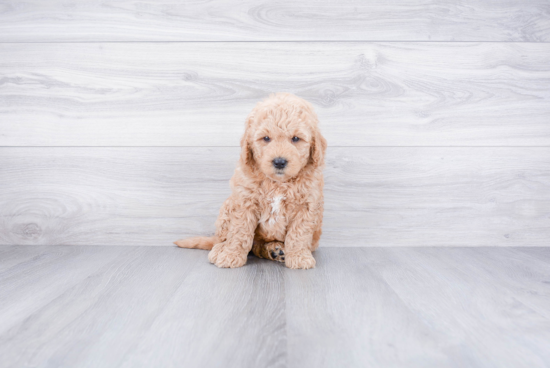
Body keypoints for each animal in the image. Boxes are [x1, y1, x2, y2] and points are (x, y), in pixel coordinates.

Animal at [175, 93, 326, 268]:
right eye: (266, 138)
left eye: (296, 139)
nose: (279, 162)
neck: (278, 183)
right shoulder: (245, 201)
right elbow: (239, 232)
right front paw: (231, 255)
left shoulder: (307, 205)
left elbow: (299, 234)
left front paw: (299, 257)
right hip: (228, 207)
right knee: (224, 239)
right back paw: (221, 249)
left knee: (257, 247)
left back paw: (275, 250)